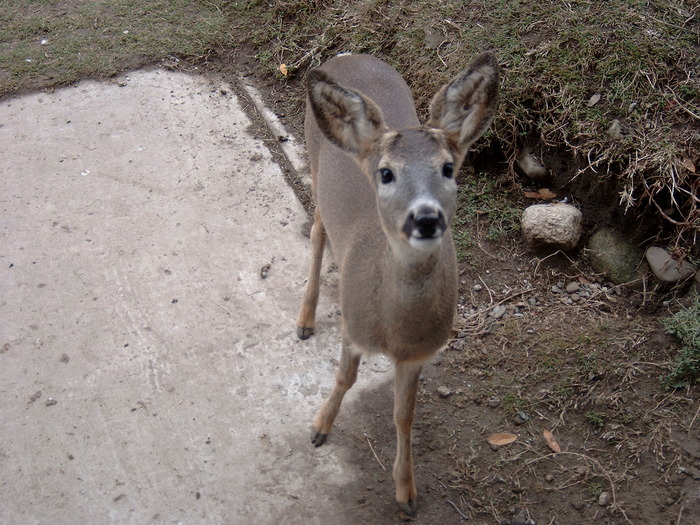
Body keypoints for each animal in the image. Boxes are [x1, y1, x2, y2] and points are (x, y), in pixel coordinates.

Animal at [296, 51, 498, 512]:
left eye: (448, 168)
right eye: (386, 174)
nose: (425, 218)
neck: (394, 333)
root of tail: (347, 54)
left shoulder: (418, 354)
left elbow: (404, 414)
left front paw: (406, 491)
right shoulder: (353, 327)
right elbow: (344, 378)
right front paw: (320, 426)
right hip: (313, 161)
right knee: (316, 233)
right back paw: (305, 320)